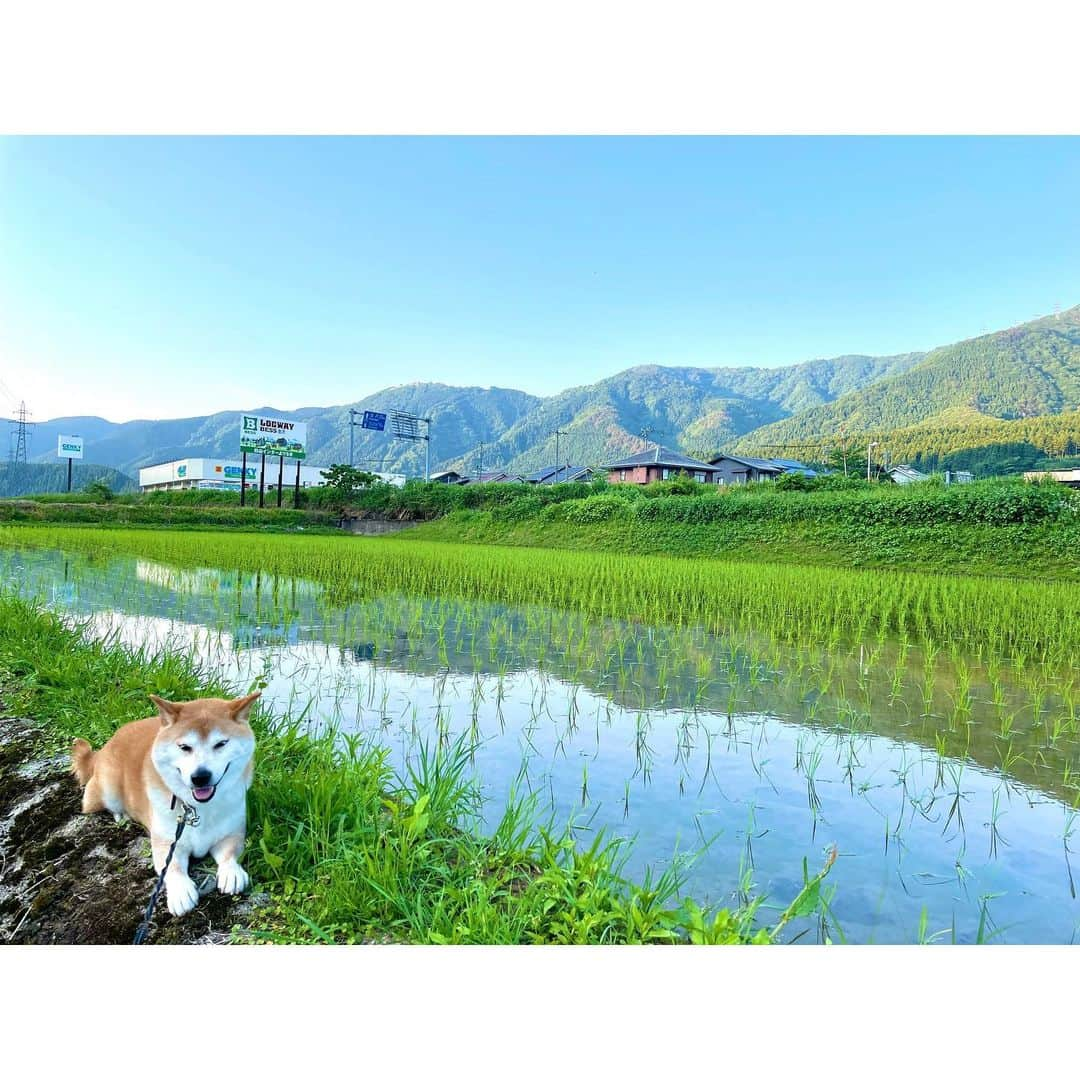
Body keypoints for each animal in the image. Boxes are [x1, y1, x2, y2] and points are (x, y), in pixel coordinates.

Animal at [70, 691, 260, 920]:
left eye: (221, 743)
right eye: (184, 747)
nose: (200, 777)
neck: (198, 808)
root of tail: (107, 745)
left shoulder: (232, 830)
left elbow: (230, 853)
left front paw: (231, 872)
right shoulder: (167, 842)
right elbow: (172, 867)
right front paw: (180, 892)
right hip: (106, 790)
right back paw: (120, 815)